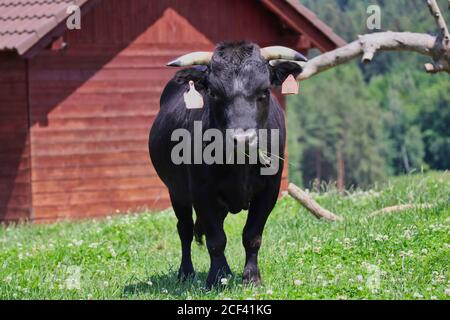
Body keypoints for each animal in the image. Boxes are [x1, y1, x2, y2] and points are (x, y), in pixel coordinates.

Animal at [149, 42, 304, 288]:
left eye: (265, 91)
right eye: (213, 93)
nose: (242, 138)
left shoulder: (269, 190)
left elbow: (252, 235)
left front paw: (251, 277)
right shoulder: (201, 192)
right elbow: (216, 239)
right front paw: (217, 277)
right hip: (176, 191)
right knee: (184, 229)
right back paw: (186, 273)